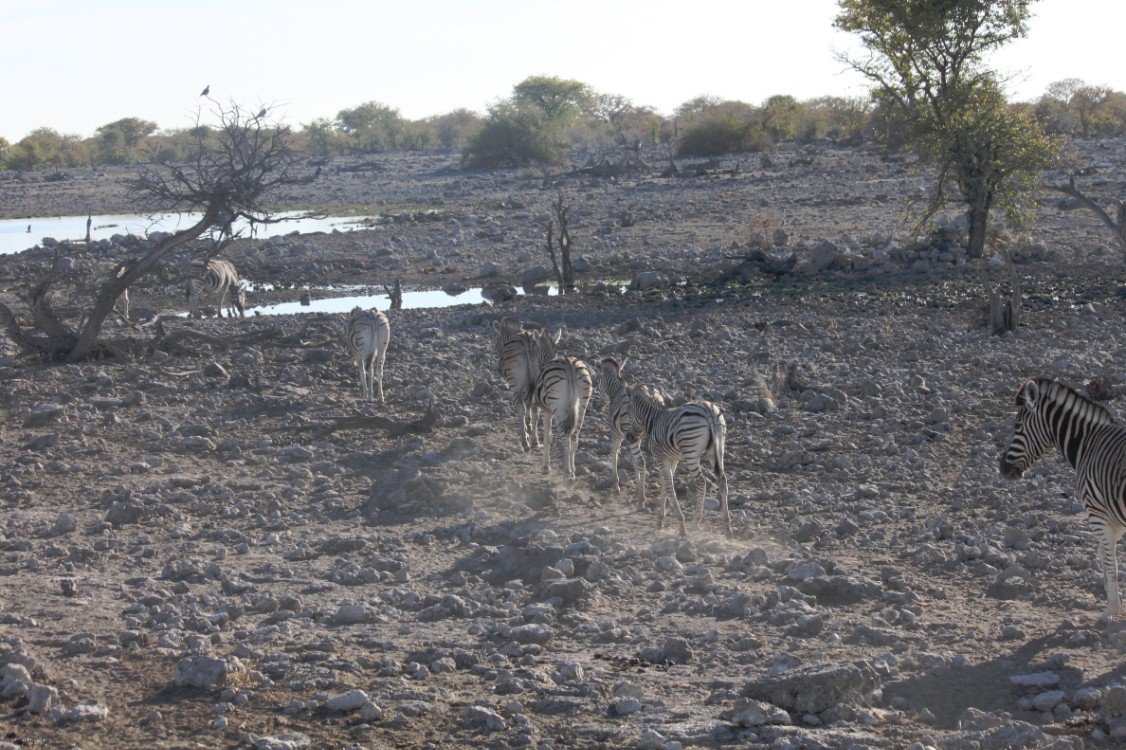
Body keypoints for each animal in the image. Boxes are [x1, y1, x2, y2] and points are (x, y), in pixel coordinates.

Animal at [493, 315, 563, 450]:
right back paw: (535, 439)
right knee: (536, 407)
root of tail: (528, 340)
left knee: (521, 405)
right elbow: (530, 402)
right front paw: (529, 424)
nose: (498, 369)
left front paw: (527, 426)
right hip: (539, 380)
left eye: (497, 343)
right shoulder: (533, 383)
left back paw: (524, 441)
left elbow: (526, 403)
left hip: (515, 382)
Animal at [531, 351, 594, 479]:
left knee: (565, 436)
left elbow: (547, 437)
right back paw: (573, 471)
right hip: (582, 404)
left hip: (558, 405)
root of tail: (569, 364)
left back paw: (567, 474)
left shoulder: (548, 411)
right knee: (574, 436)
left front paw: (546, 468)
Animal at [626, 382, 729, 533]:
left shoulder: (660, 458)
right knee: (722, 480)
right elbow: (664, 487)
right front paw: (660, 521)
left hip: (691, 452)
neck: (654, 420)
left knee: (701, 482)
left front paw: (681, 524)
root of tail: (708, 409)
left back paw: (696, 521)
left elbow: (669, 487)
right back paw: (728, 527)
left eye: (628, 412)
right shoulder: (672, 459)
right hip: (717, 448)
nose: (630, 437)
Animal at [999, 373, 1126, 617]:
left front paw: (1111, 610)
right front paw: (1111, 596)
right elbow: (1103, 555)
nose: (1002, 469)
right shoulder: (1113, 519)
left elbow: (1110, 562)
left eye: (1017, 426)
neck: (1089, 444)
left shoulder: (1097, 513)